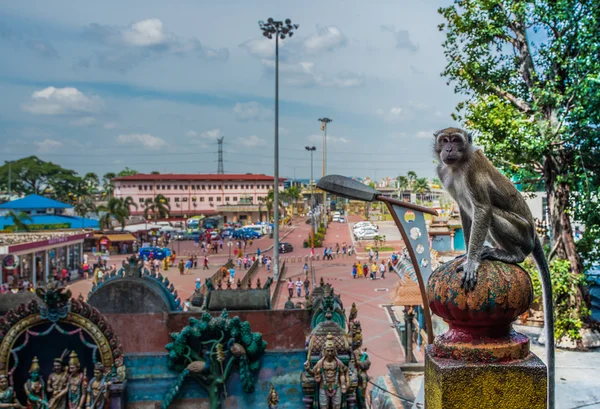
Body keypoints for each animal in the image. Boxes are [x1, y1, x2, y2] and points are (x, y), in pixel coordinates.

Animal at [434, 127, 556, 408]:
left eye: (455, 140)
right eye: (444, 140)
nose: (448, 149)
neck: (457, 166)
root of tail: (534, 233)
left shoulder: (472, 170)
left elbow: (481, 209)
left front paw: (471, 261)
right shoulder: (443, 173)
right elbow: (465, 211)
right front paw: (466, 254)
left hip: (521, 232)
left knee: (493, 214)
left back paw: (512, 255)